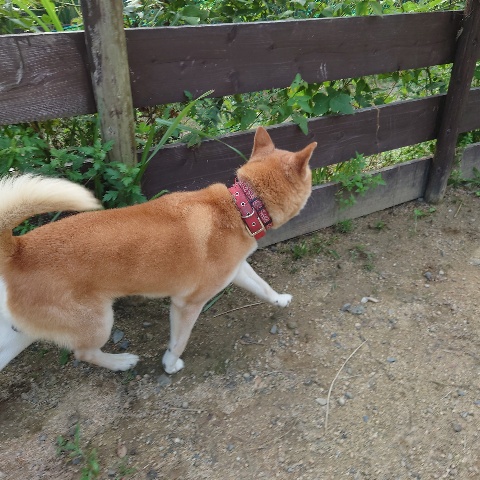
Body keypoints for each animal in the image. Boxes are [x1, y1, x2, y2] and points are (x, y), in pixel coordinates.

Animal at [0, 127, 316, 375]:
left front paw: (280, 300)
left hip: (20, 335)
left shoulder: (238, 271)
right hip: (97, 322)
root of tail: (18, 249)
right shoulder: (187, 303)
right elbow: (179, 342)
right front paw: (170, 364)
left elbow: (263, 287)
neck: (242, 207)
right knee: (84, 353)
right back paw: (121, 362)